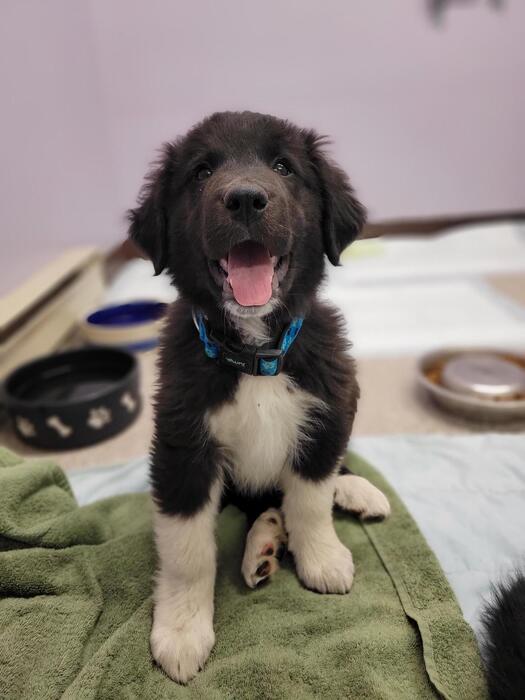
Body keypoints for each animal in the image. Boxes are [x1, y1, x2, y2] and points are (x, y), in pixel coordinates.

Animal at [127, 110, 388, 684]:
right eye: (201, 172)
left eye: (284, 167)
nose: (246, 198)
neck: (254, 354)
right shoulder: (182, 448)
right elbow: (188, 550)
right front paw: (182, 630)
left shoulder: (328, 409)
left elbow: (310, 499)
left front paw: (322, 558)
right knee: (257, 506)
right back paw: (264, 545)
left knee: (317, 476)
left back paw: (351, 492)